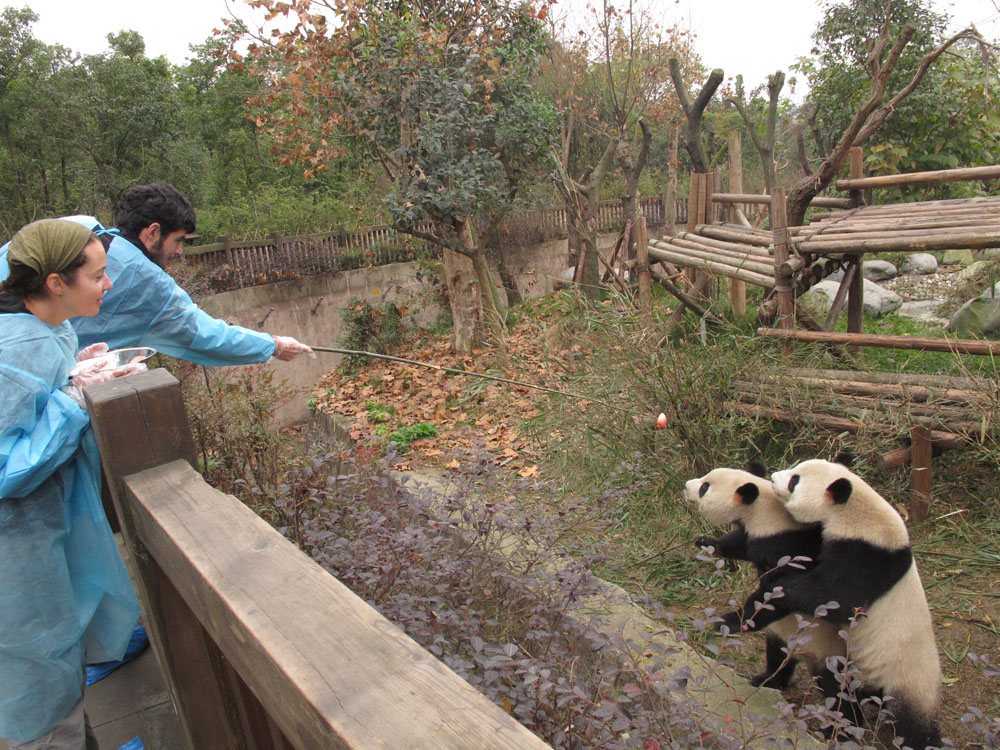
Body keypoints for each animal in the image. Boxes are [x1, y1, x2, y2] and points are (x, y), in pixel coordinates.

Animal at [680, 464, 844, 692]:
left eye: (705, 487)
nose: (686, 485)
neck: (764, 510)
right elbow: (739, 544)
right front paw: (706, 542)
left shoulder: (787, 549)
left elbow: (775, 594)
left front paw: (729, 621)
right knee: (779, 652)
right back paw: (770, 680)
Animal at [760, 458, 940, 750]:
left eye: (795, 481)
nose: (774, 476)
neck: (855, 510)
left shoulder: (865, 555)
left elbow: (834, 598)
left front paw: (779, 583)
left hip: (908, 678)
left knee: (912, 723)